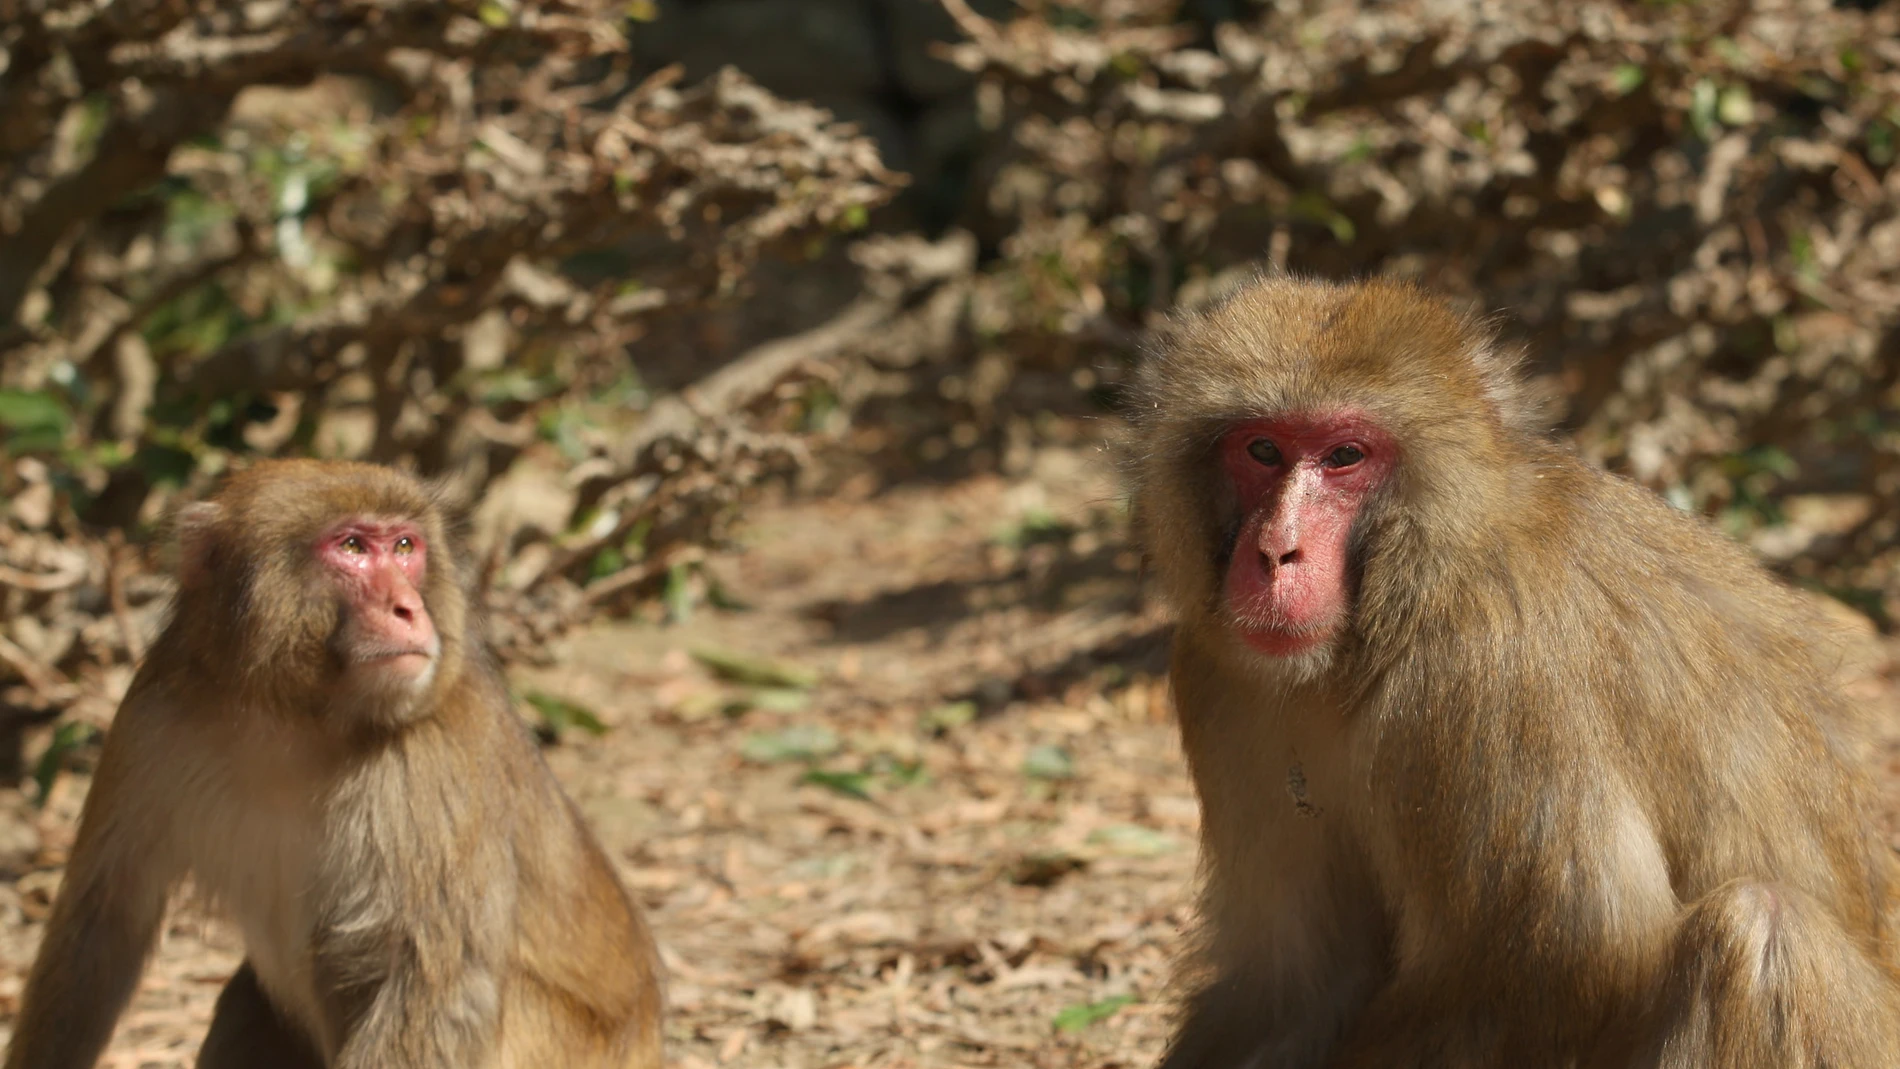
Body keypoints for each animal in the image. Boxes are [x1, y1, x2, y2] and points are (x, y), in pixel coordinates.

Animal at [3, 459, 663, 1069]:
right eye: (351, 546)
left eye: (405, 546)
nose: (408, 608)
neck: (295, 717)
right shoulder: (151, 715)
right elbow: (102, 923)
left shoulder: (433, 753)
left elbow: (435, 986)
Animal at [1128, 276, 1900, 1069]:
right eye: (1262, 449)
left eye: (1344, 454)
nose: (1277, 551)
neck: (1387, 613)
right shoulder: (1218, 680)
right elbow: (1291, 984)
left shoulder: (1491, 660)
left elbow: (1581, 949)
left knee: (1766, 932)